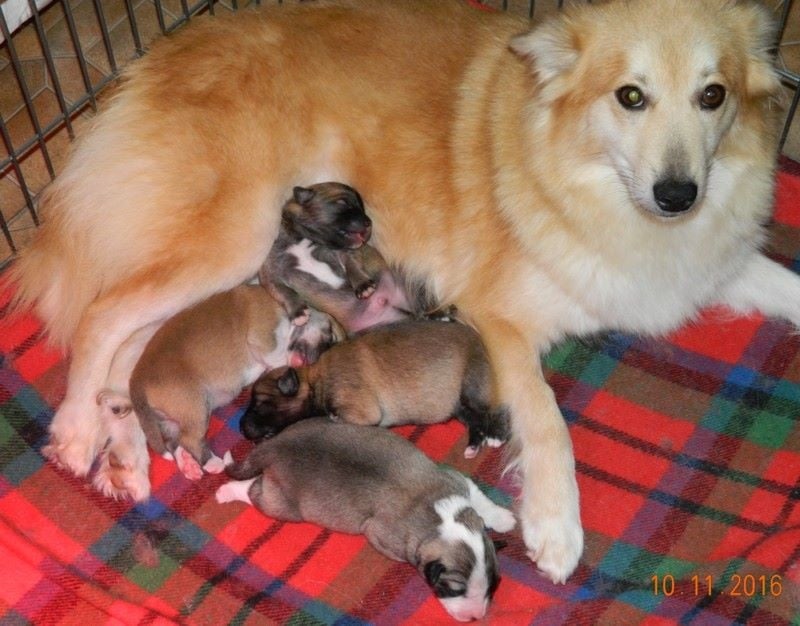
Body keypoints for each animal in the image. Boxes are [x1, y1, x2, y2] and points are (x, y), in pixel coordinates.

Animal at [97, 286, 338, 480]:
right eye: (332, 335)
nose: (317, 362)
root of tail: (137, 377)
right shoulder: (265, 338)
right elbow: (277, 354)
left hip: (172, 418)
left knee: (174, 442)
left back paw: (189, 466)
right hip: (195, 405)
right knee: (189, 439)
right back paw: (212, 463)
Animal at [216, 416, 516, 620]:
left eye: (494, 585)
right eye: (454, 589)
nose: (476, 617)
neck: (438, 517)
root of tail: (275, 445)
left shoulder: (456, 480)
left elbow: (477, 496)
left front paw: (503, 518)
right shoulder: (384, 536)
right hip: (281, 504)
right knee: (254, 490)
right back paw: (227, 491)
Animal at [241, 316, 510, 458]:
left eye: (260, 404)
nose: (242, 427)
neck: (317, 377)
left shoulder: (360, 412)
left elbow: (330, 419)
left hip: (473, 386)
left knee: (494, 411)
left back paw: (496, 436)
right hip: (458, 405)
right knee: (475, 420)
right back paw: (473, 446)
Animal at [262, 180, 412, 334]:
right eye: (342, 202)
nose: (368, 222)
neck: (305, 239)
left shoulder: (347, 252)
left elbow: (352, 265)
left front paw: (363, 285)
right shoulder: (270, 274)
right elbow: (285, 291)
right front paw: (298, 312)